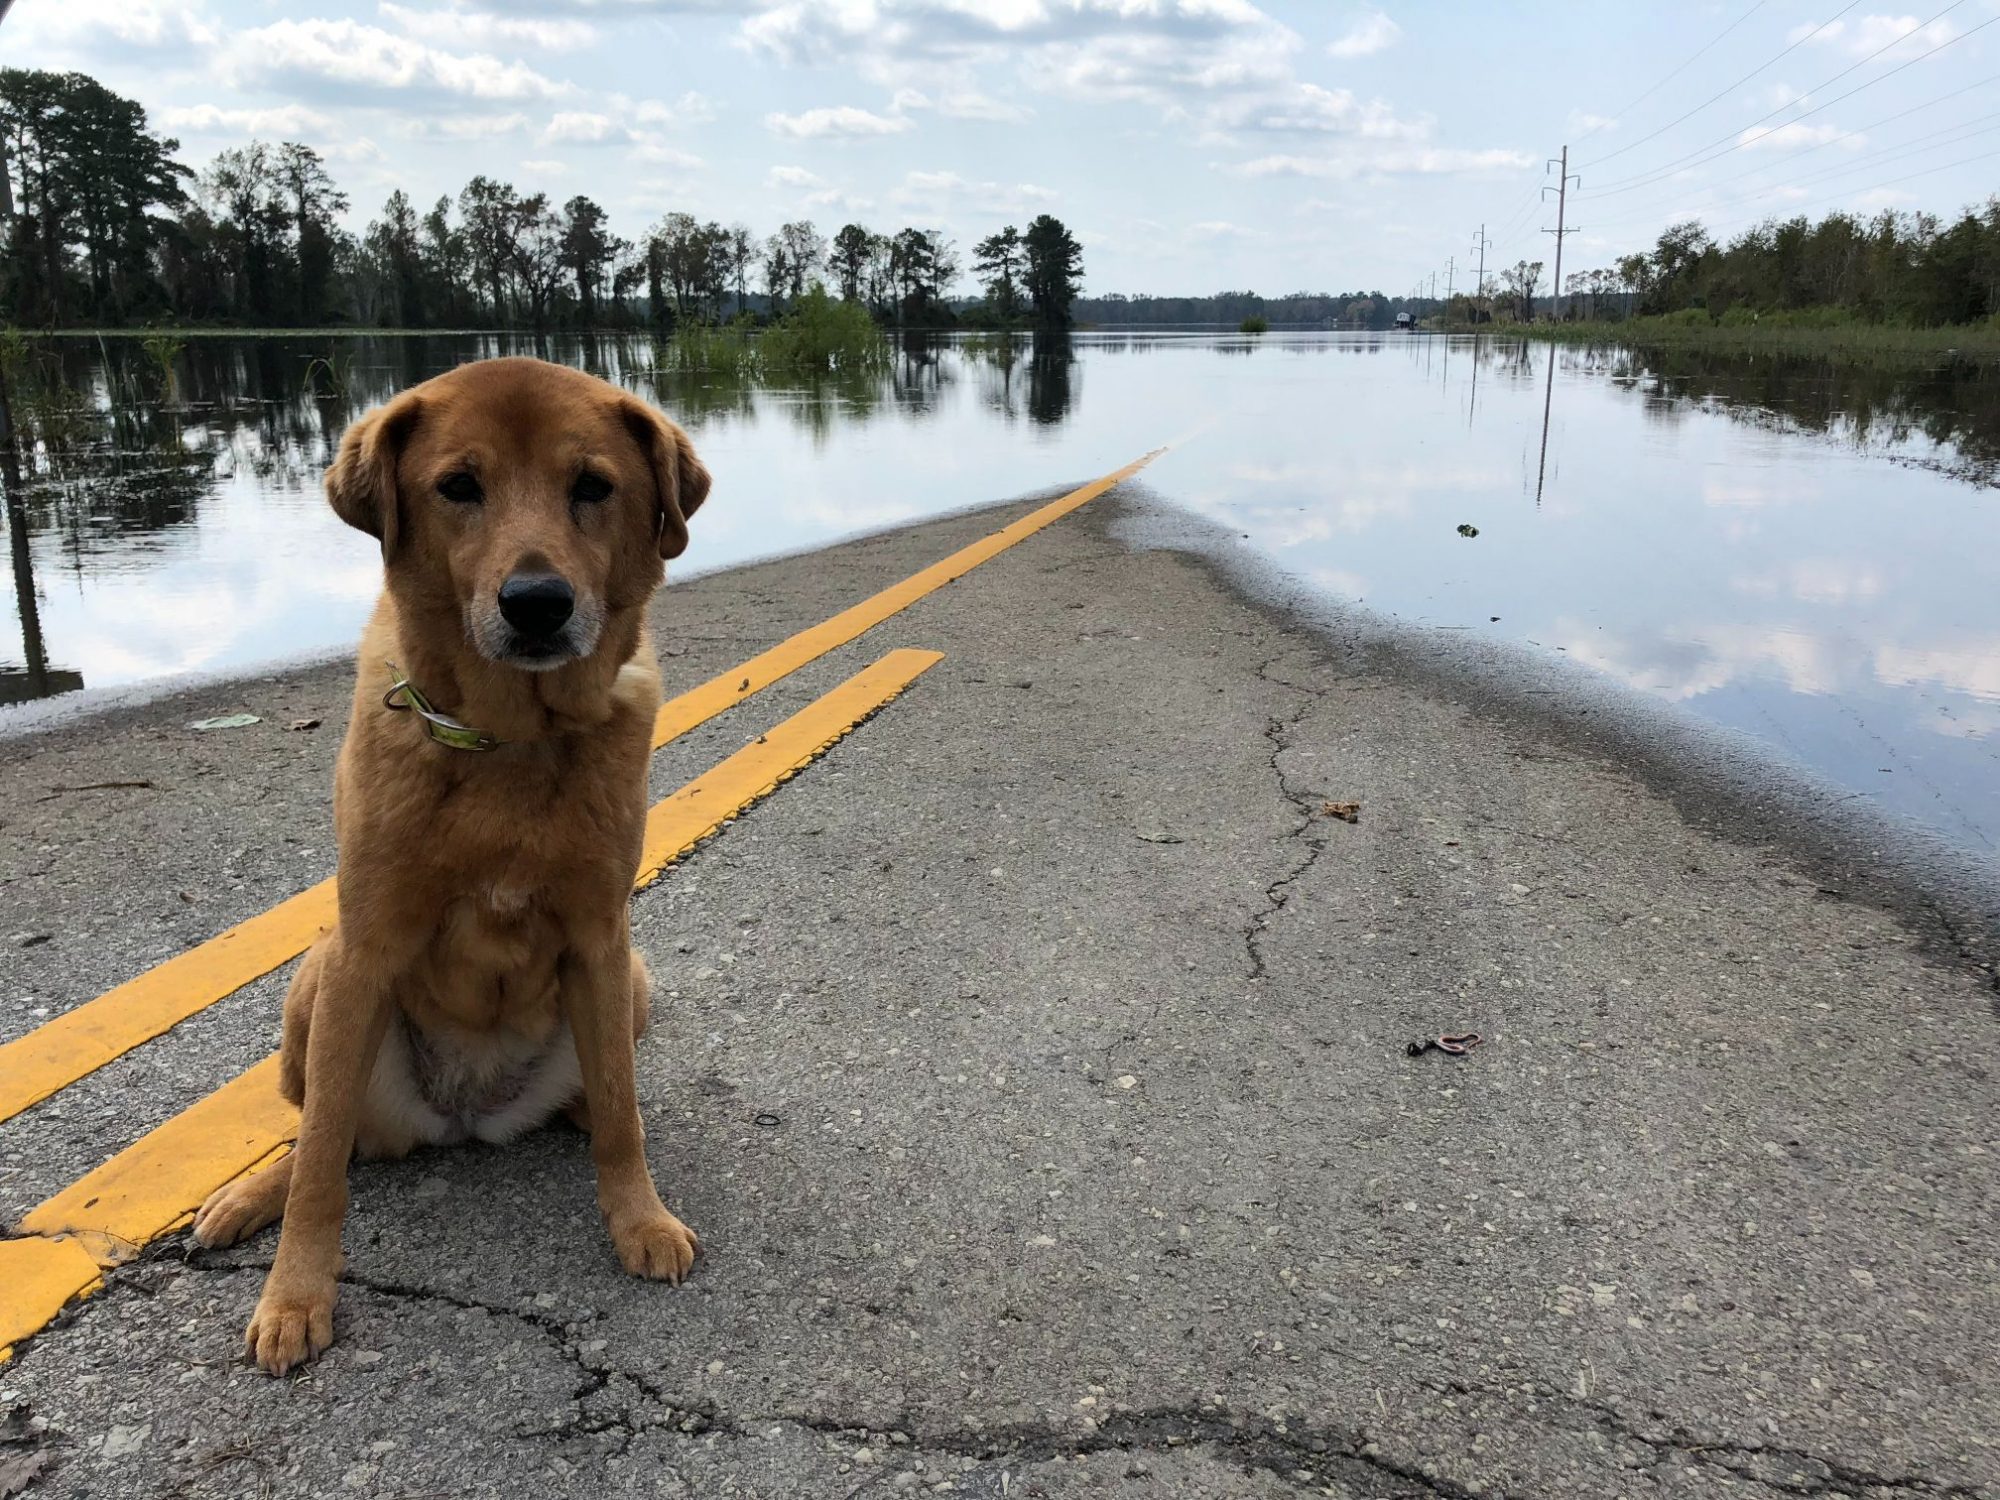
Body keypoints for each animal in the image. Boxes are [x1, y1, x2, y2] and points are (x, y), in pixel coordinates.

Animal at [182, 358, 712, 1384]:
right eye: (458, 486)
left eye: (593, 486)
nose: (537, 602)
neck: (508, 741)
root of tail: (464, 1116)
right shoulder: (365, 948)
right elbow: (319, 1170)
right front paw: (295, 1296)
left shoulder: (601, 940)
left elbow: (625, 1115)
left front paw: (637, 1216)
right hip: (318, 981)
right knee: (330, 1134)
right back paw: (245, 1197)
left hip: (631, 983)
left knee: (596, 1092)